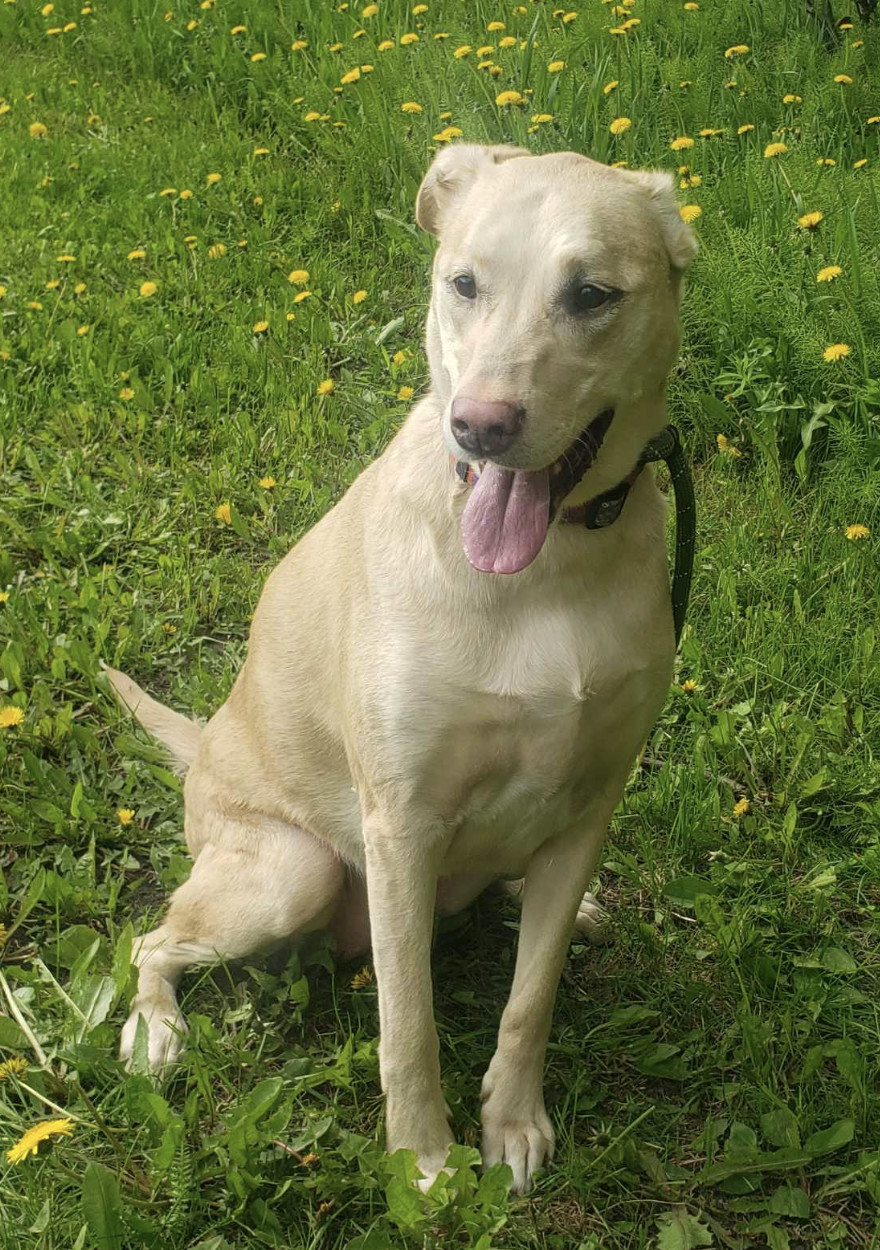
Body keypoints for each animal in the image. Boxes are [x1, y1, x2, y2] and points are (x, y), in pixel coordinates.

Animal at [105, 143, 695, 1190]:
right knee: (152, 939)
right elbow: (407, 1022)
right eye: (464, 283)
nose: (481, 426)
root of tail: (204, 744)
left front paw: (512, 1121)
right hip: (290, 868)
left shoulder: (592, 804)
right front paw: (423, 1160)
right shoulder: (402, 827)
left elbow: (530, 997)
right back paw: (156, 1031)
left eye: (592, 293)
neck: (547, 572)